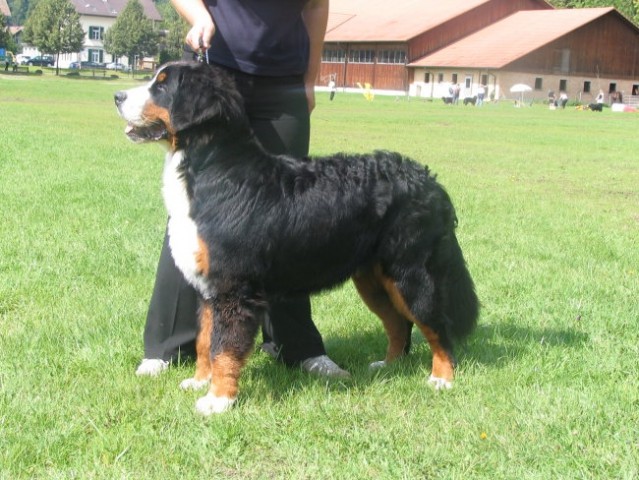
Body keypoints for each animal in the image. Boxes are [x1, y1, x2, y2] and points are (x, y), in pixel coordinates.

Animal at [114, 62, 480, 414]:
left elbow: (224, 348)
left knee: (437, 325)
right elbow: (206, 341)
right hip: (373, 280)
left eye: (162, 86)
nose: (117, 96)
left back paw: (442, 378)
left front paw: (218, 400)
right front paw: (200, 381)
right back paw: (388, 366)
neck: (212, 170)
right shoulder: (209, 289)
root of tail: (428, 180)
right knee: (399, 324)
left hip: (412, 274)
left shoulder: (233, 290)